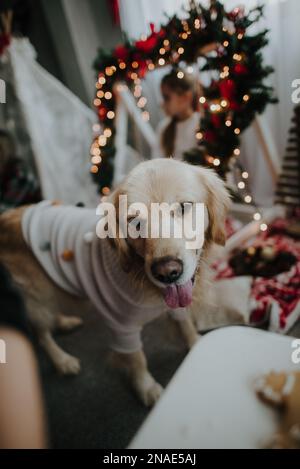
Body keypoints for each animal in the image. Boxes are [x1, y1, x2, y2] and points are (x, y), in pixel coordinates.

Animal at [0, 159, 230, 404]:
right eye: (135, 222)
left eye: (184, 207)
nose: (167, 272)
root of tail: (9, 216)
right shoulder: (122, 327)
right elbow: (137, 358)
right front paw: (146, 387)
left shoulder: (177, 305)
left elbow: (184, 323)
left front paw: (196, 343)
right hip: (36, 296)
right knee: (41, 335)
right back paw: (63, 360)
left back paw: (64, 322)